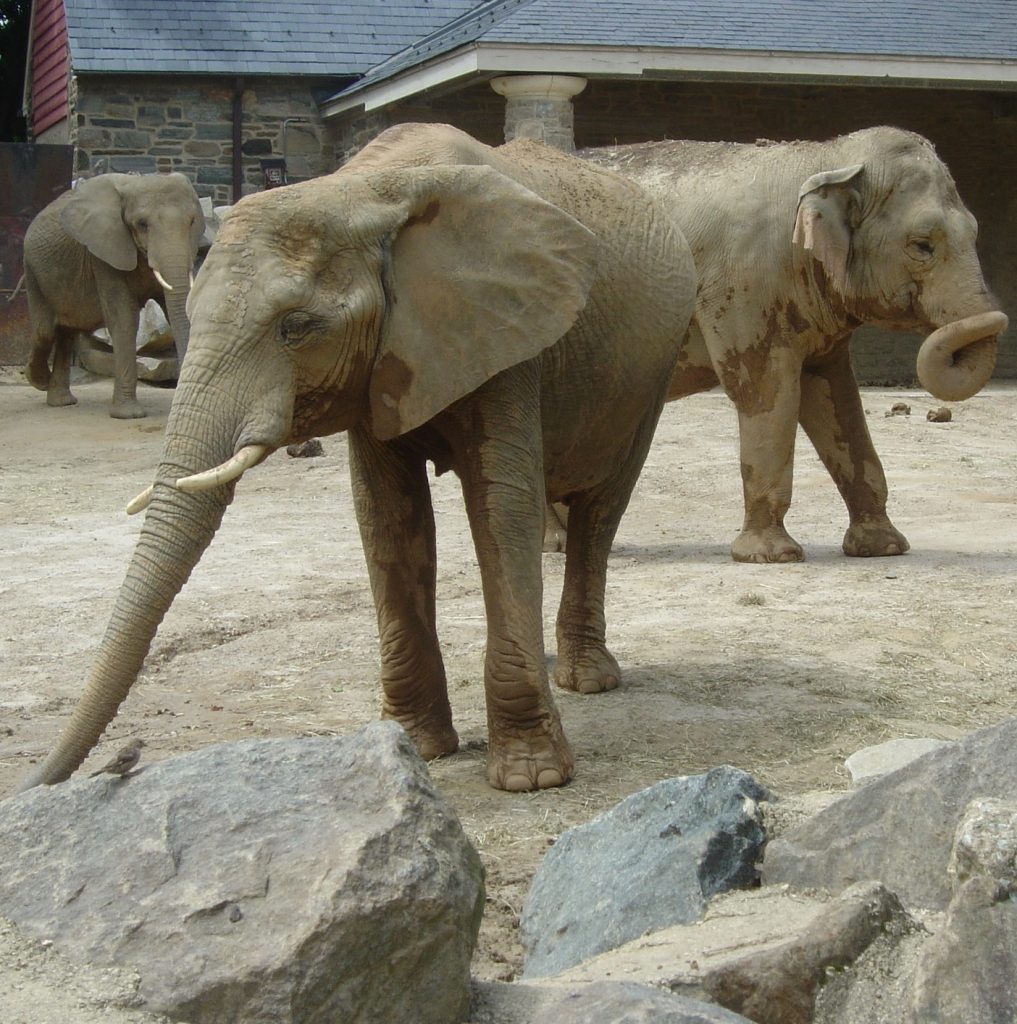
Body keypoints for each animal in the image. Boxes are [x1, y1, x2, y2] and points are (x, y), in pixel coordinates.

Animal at [23, 172, 205, 415]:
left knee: (65, 332)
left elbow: (174, 308)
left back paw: (61, 401)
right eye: (142, 224)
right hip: (33, 271)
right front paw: (128, 414)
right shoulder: (104, 253)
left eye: (192, 222)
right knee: (45, 330)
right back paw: (38, 380)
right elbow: (124, 317)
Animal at [573, 125, 1007, 569]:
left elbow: (836, 396)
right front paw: (771, 556)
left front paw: (882, 548)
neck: (826, 158)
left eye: (974, 231)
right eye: (922, 245)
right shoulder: (742, 287)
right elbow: (765, 391)